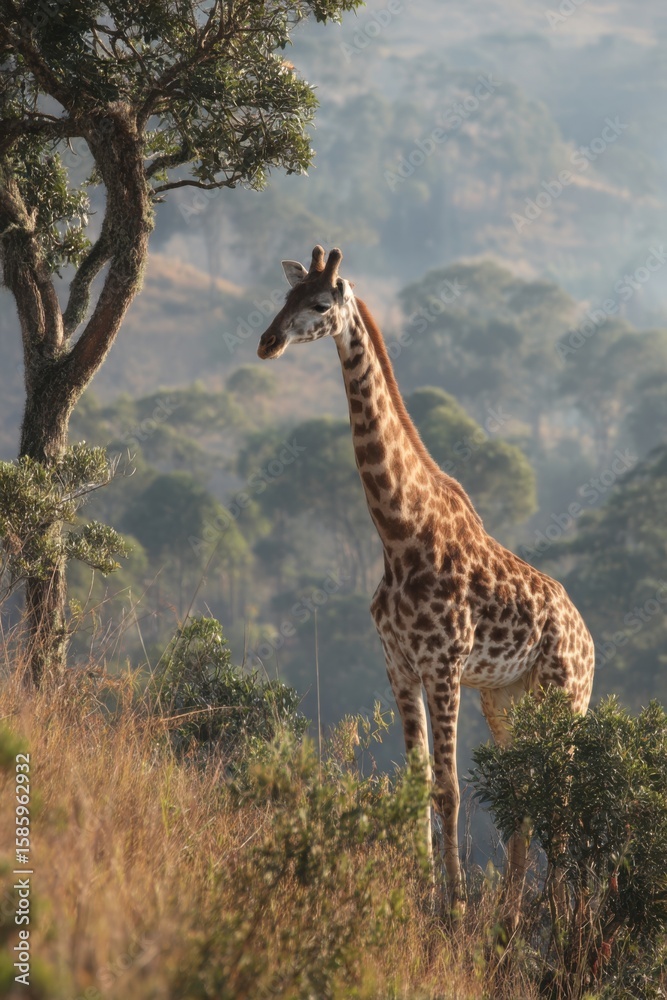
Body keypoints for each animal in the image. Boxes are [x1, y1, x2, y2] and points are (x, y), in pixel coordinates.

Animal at [256, 246, 595, 912]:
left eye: (320, 303)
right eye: (283, 297)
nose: (267, 342)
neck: (399, 534)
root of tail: (591, 641)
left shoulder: (443, 665)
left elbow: (448, 788)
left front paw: (454, 908)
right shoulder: (399, 665)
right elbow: (418, 784)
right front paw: (421, 895)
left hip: (566, 698)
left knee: (563, 793)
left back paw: (560, 920)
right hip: (506, 697)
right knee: (524, 794)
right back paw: (509, 921)